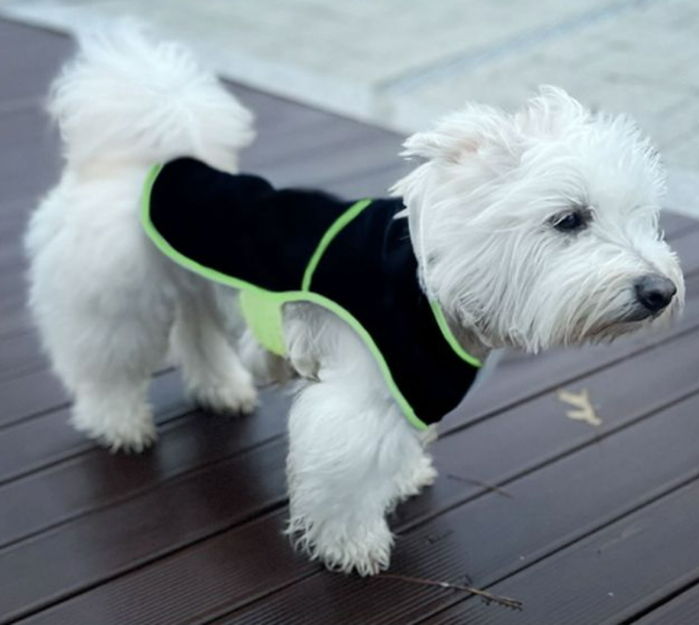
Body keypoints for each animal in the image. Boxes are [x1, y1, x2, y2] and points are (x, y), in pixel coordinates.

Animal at [26, 29, 684, 576]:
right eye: (569, 219)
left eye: (644, 218)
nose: (663, 292)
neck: (435, 286)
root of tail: (136, 163)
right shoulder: (356, 402)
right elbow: (345, 479)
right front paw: (353, 547)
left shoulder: (407, 386)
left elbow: (393, 450)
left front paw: (403, 479)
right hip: (116, 303)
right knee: (104, 368)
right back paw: (119, 425)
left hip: (190, 288)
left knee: (196, 337)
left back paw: (222, 391)